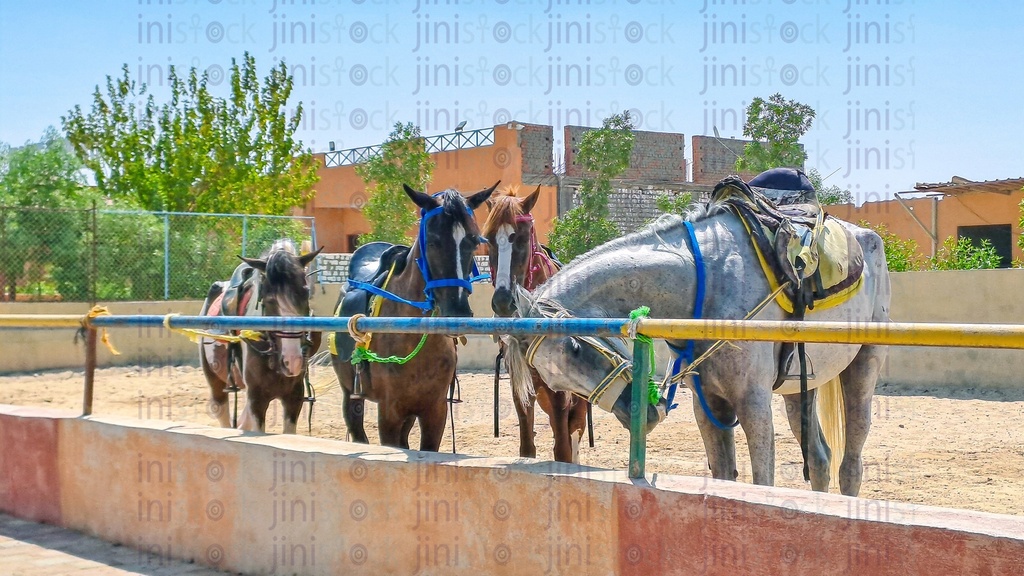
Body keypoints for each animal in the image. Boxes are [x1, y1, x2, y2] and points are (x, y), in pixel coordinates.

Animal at [199, 238, 323, 433]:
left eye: (305, 293)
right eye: (269, 299)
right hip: (215, 380)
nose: (292, 360)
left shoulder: (294, 396)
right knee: (221, 411)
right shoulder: (257, 398)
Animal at [330, 184, 496, 451]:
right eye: (434, 241)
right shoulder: (389, 413)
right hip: (351, 395)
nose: (457, 311)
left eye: (473, 241)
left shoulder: (434, 411)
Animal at [482, 184, 590, 463]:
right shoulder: (522, 385)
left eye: (521, 238)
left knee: (574, 432)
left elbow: (563, 449)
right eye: (489, 240)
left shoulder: (560, 391)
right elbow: (527, 447)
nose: (503, 302)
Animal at [505, 179, 890, 496]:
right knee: (821, 461)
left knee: (851, 464)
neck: (706, 283)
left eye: (574, 346)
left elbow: (762, 481)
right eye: (554, 381)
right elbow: (723, 476)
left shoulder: (753, 402)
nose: (641, 416)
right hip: (802, 384)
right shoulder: (708, 405)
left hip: (863, 365)